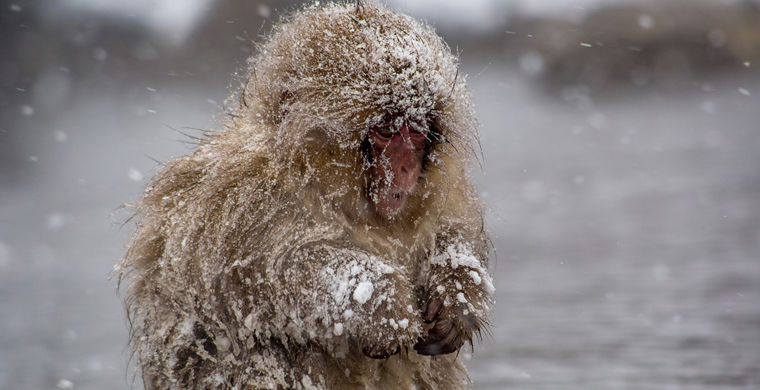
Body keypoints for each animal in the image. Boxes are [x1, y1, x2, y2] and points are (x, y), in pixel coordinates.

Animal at [114, 1, 492, 388]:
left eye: (415, 132)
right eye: (386, 131)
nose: (405, 168)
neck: (312, 173)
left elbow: (451, 228)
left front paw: (458, 293)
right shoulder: (241, 194)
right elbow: (262, 271)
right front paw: (383, 303)